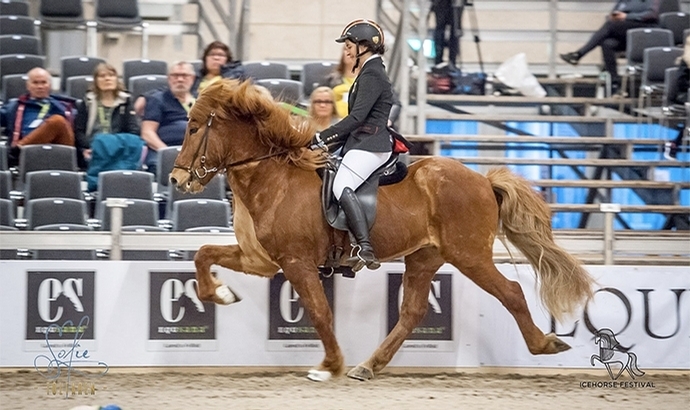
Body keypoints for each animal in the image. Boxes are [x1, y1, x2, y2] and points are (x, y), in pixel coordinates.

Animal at [168, 79, 592, 382]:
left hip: (469, 255)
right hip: (425, 257)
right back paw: (369, 365)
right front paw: (219, 293)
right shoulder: (261, 260)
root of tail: (483, 181)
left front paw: (329, 365)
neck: (274, 177)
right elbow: (203, 254)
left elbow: (320, 312)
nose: (176, 179)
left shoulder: (295, 262)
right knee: (413, 312)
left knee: (512, 292)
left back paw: (544, 343)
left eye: (194, 128)